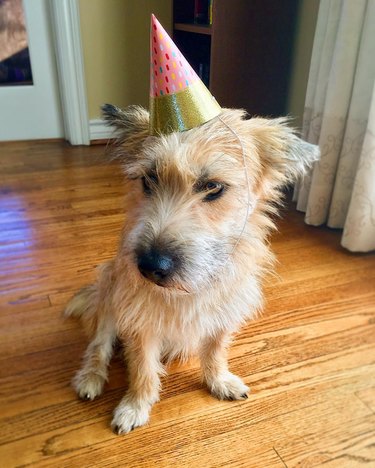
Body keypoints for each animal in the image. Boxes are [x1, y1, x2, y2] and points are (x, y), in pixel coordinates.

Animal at [65, 104, 320, 434]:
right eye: (149, 179)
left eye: (213, 187)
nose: (149, 266)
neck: (187, 290)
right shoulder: (140, 321)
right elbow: (142, 369)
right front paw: (135, 405)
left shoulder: (223, 315)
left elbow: (216, 351)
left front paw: (218, 381)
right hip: (109, 296)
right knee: (99, 345)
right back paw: (91, 377)